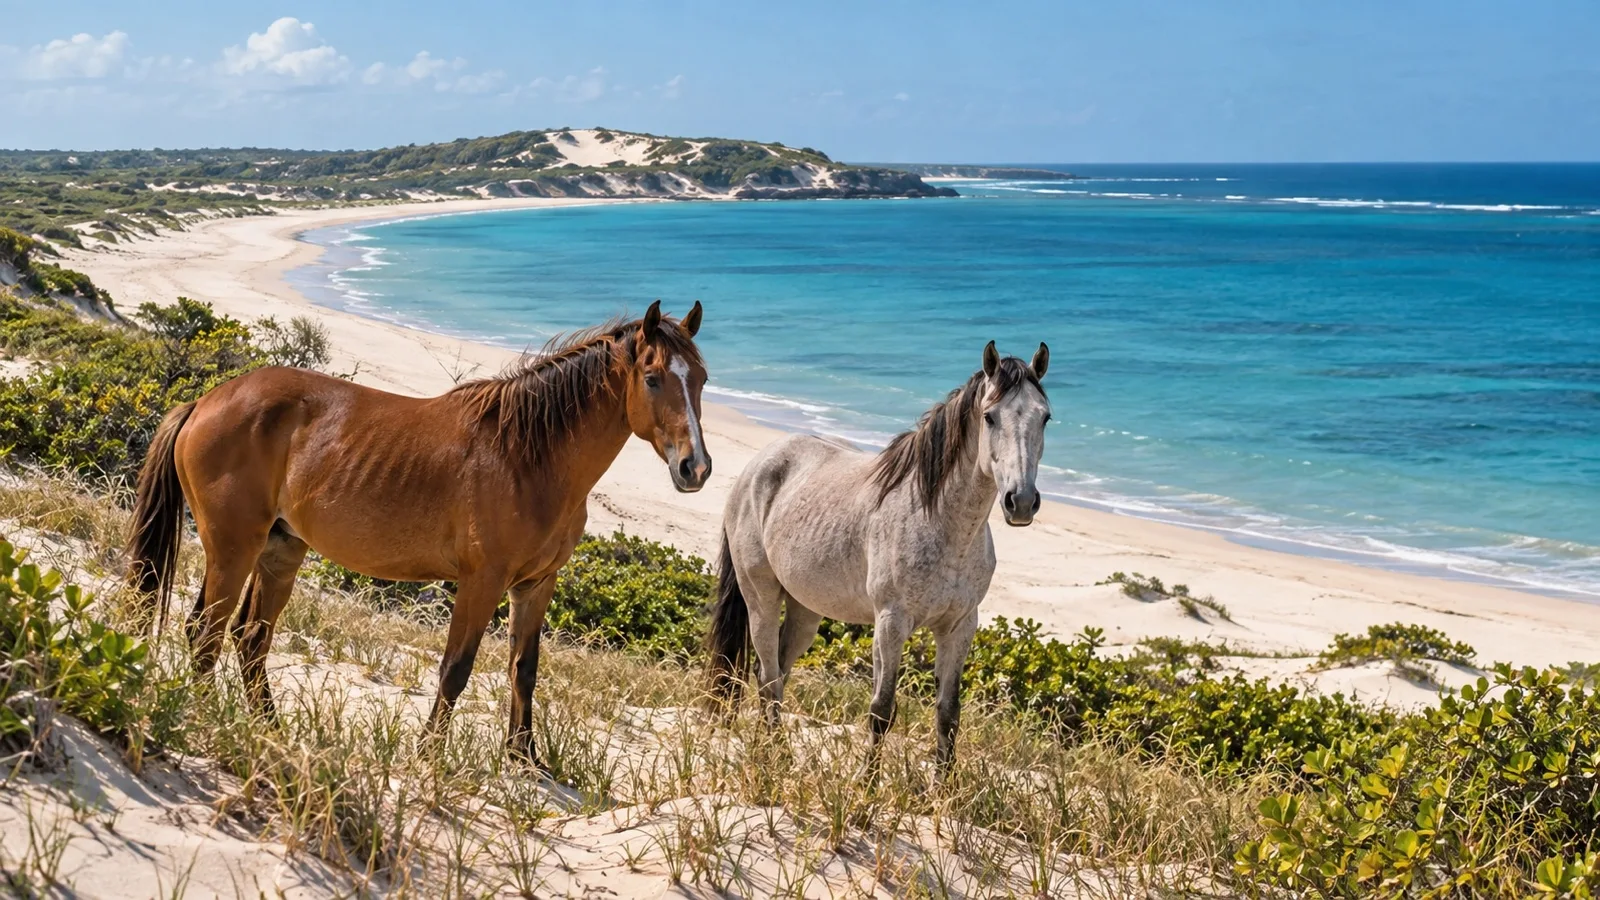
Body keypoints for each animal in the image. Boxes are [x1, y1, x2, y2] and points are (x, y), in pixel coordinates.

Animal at [127, 301, 710, 757]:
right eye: (653, 378)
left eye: (702, 381)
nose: (695, 469)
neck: (529, 456)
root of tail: (203, 402)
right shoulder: (481, 582)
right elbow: (456, 669)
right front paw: (430, 756)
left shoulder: (536, 585)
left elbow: (525, 667)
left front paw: (525, 761)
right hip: (233, 548)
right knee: (205, 633)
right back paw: (213, 722)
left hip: (280, 551)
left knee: (250, 640)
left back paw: (269, 732)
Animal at [705, 340, 1050, 774]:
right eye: (989, 417)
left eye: (1045, 418)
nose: (1020, 501)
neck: (939, 522)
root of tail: (755, 468)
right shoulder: (891, 623)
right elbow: (882, 710)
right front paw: (866, 784)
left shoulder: (959, 627)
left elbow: (948, 713)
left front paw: (945, 786)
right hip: (760, 599)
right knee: (768, 676)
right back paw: (774, 757)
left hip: (806, 612)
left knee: (776, 673)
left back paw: (770, 749)